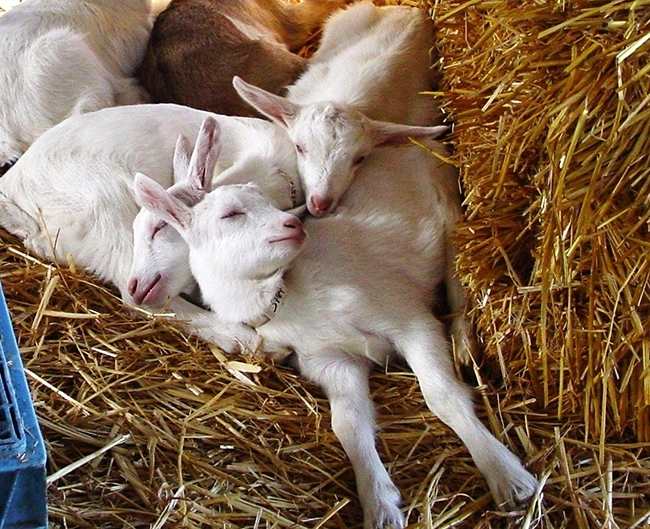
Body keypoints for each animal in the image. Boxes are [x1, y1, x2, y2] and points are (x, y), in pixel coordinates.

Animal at [0, 105, 301, 354]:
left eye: (161, 225)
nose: (139, 285)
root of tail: (15, 198)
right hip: (105, 210)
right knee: (137, 299)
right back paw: (252, 343)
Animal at [134, 130, 539, 529]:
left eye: (270, 204)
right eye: (230, 213)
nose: (293, 224)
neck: (293, 299)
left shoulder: (404, 315)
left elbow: (441, 395)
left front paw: (508, 478)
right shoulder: (330, 362)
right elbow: (348, 425)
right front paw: (380, 505)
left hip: (450, 200)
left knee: (460, 268)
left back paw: (465, 343)